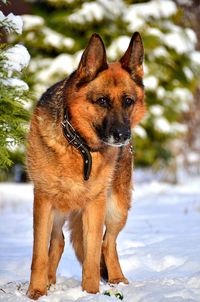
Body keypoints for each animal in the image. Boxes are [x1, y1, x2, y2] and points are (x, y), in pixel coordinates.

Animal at [27, 31, 145, 298]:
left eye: (128, 101)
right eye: (101, 101)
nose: (123, 136)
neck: (78, 145)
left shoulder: (95, 204)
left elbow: (92, 256)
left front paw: (90, 293)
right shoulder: (44, 200)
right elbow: (39, 254)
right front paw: (36, 291)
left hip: (116, 207)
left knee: (107, 243)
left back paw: (117, 279)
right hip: (58, 209)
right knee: (58, 242)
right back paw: (49, 282)